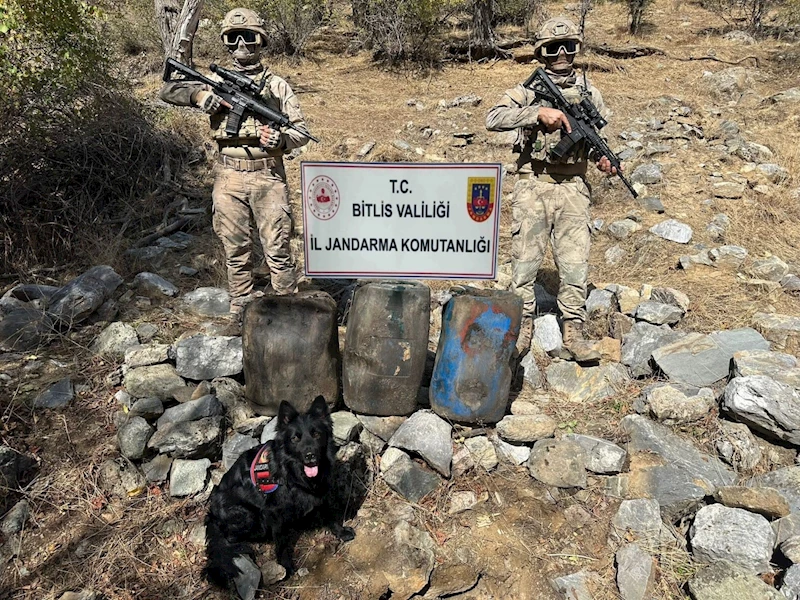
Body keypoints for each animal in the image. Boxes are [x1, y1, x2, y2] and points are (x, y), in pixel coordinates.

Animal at [203, 396, 356, 588]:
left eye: (316, 434)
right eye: (295, 438)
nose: (310, 456)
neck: (294, 474)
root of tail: (213, 514)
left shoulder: (320, 494)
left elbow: (330, 515)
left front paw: (341, 532)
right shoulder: (275, 512)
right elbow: (281, 542)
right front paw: (285, 566)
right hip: (250, 517)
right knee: (230, 536)